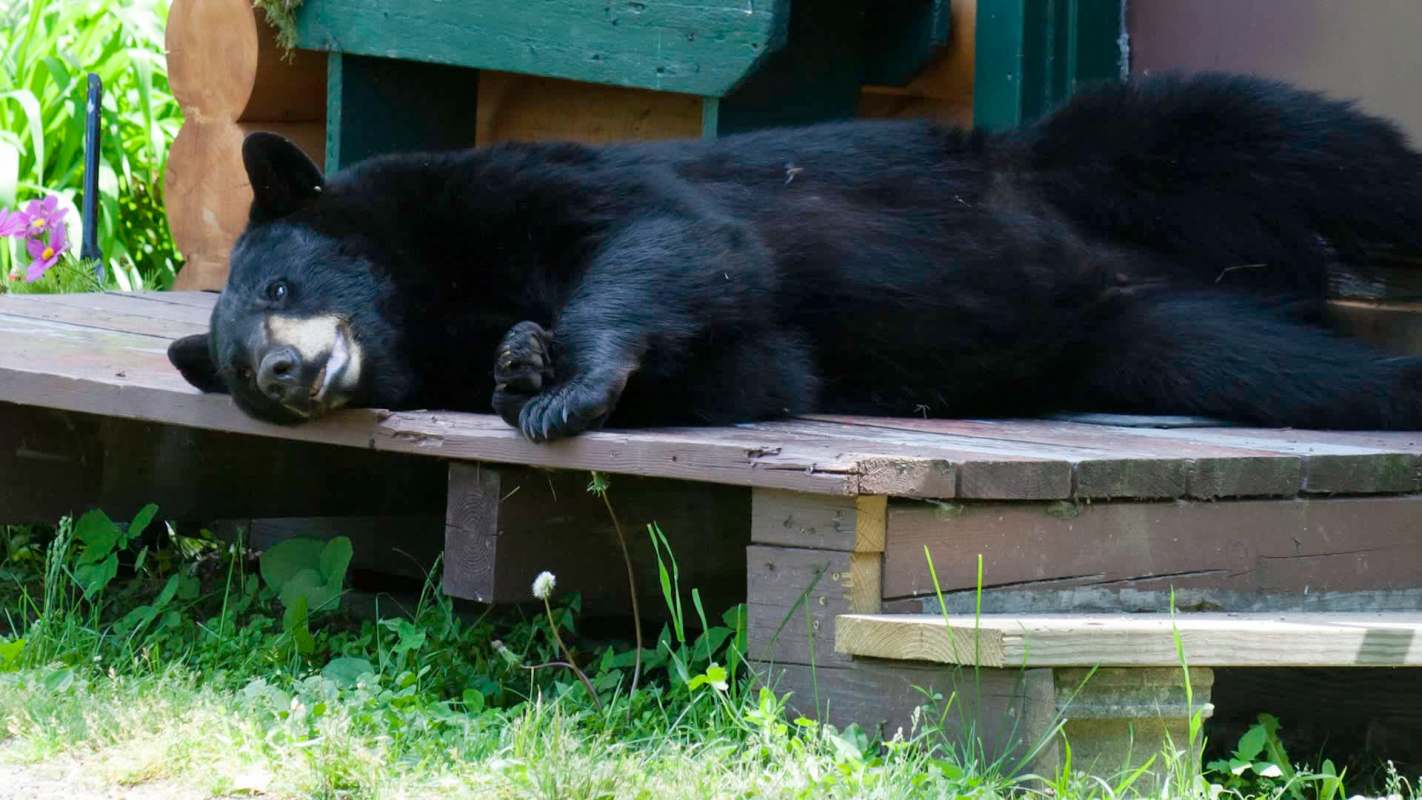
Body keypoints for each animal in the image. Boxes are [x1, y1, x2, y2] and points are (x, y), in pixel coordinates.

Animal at [168, 72, 1422, 441]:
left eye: (279, 283)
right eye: (232, 369)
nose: (280, 370)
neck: (430, 295)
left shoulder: (510, 183)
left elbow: (663, 236)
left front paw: (564, 376)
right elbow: (764, 368)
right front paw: (523, 365)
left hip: (1108, 157)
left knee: (1296, 139)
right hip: (1153, 336)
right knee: (1288, 368)